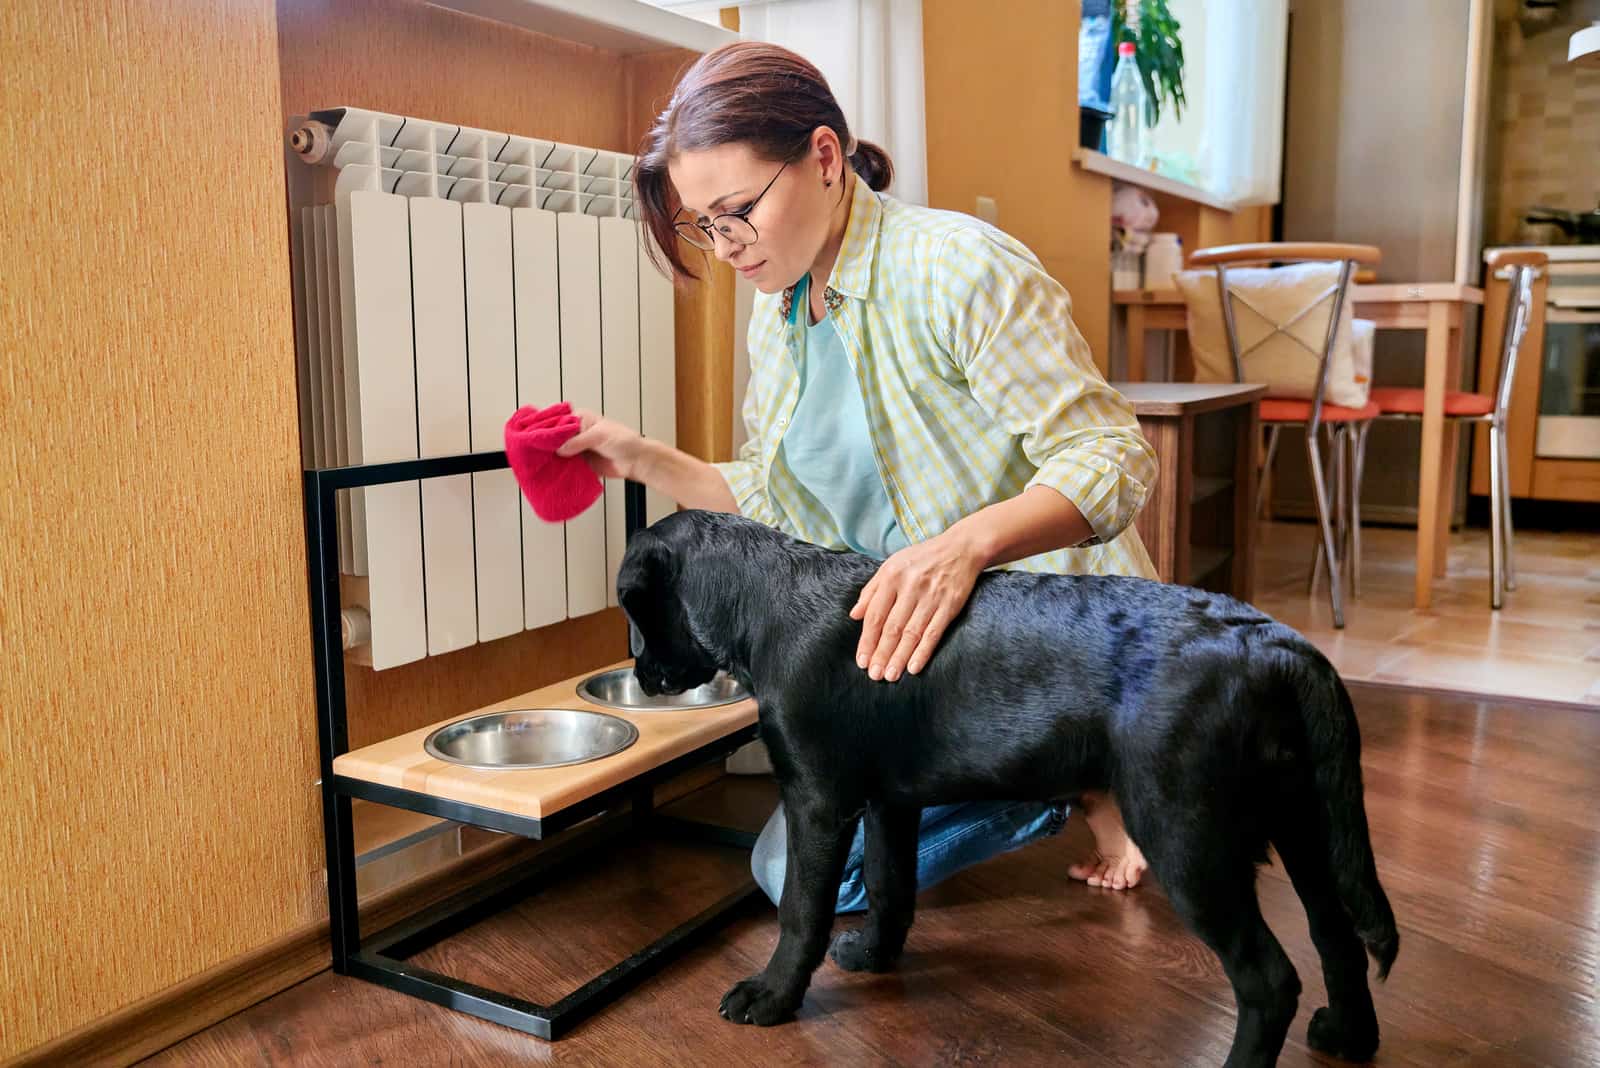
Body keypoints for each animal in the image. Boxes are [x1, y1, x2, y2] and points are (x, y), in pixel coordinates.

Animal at [617, 511, 1395, 1068]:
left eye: (636, 617)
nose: (645, 677)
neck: (764, 599)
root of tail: (1283, 648)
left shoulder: (818, 798)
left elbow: (801, 912)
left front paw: (771, 996)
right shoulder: (891, 801)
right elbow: (892, 887)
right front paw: (875, 957)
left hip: (1189, 836)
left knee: (1269, 979)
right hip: (1305, 823)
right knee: (1338, 937)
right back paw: (1349, 1037)